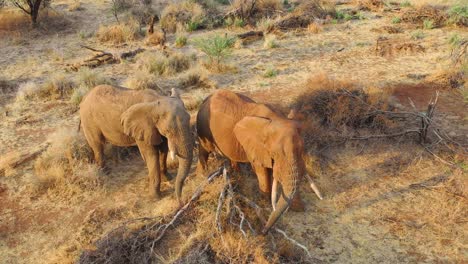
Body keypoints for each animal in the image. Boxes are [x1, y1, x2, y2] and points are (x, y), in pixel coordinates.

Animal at [195, 89, 322, 234]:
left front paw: (298, 208)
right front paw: (266, 202)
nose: (263, 231)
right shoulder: (257, 147)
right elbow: (262, 171)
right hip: (202, 126)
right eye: (275, 153)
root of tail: (206, 99)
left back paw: (237, 175)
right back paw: (202, 176)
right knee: (204, 151)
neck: (274, 119)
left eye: (302, 149)